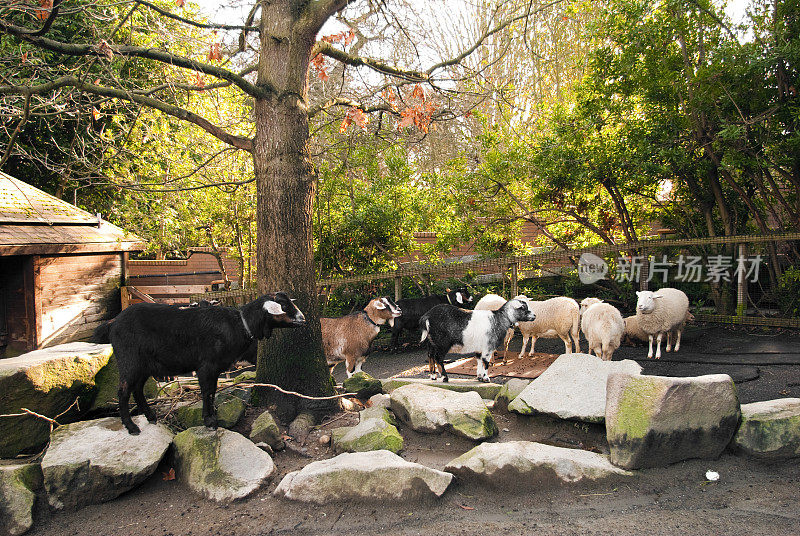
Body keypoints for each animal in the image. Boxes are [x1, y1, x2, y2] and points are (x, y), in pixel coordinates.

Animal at [92, 294, 304, 436]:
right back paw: (131, 426)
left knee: (137, 389)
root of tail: (112, 324)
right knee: (123, 391)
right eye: (284, 305)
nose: (303, 319)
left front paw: (212, 416)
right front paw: (210, 421)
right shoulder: (207, 366)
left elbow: (213, 390)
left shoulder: (215, 368)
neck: (240, 324)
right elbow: (208, 391)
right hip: (129, 360)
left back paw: (150, 417)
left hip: (144, 365)